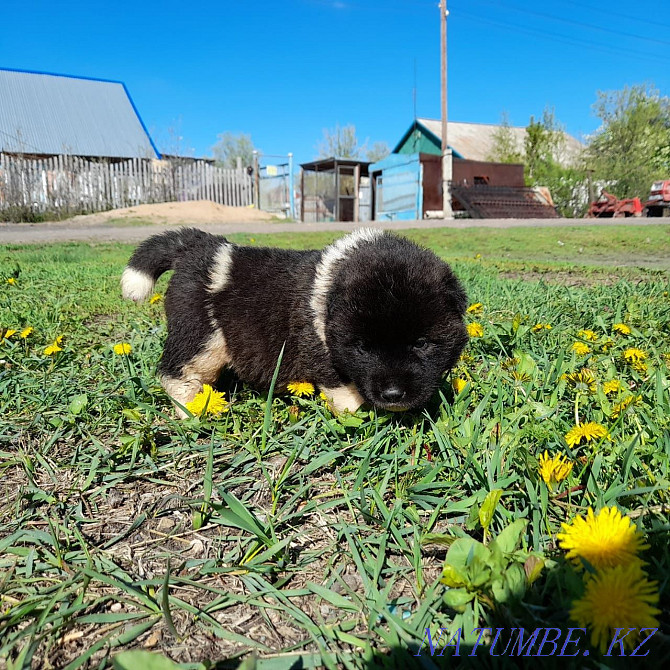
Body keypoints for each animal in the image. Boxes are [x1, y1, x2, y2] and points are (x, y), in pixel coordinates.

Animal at [121, 232, 470, 420]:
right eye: (363, 347)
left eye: (422, 343)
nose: (393, 395)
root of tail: (199, 248)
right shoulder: (323, 353)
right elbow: (344, 392)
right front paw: (360, 418)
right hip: (201, 336)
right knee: (177, 373)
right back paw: (193, 411)